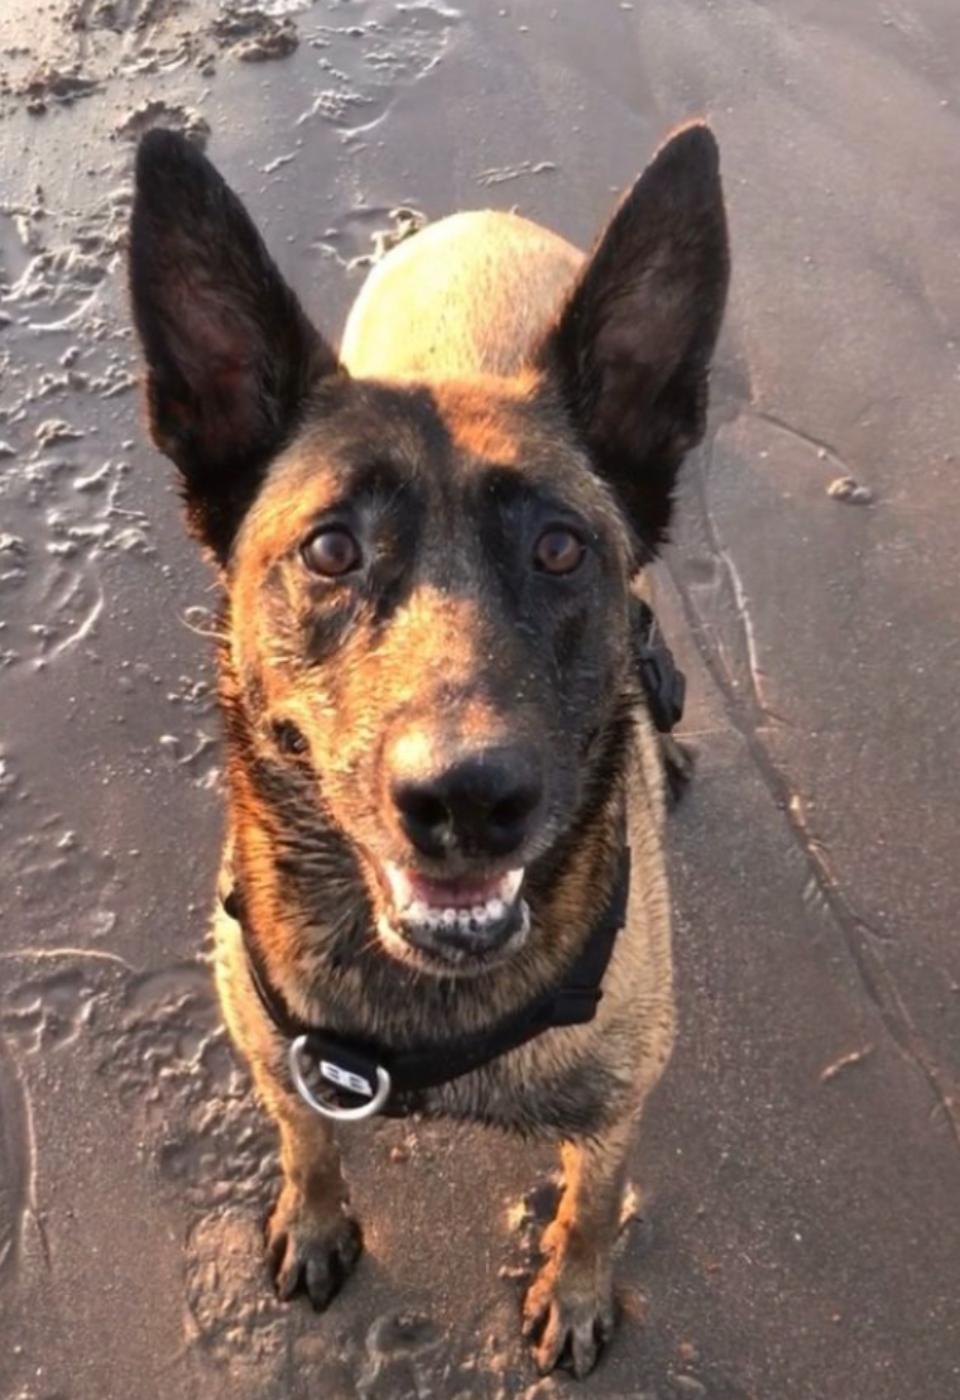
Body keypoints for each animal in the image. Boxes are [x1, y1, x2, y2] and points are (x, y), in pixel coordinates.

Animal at [128, 123, 727, 1377]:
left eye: (560, 547)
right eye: (331, 549)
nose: (467, 799)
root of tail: (481, 223)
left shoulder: (616, 1106)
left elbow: (591, 1206)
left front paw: (577, 1288)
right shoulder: (278, 1060)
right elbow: (307, 1141)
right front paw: (315, 1217)